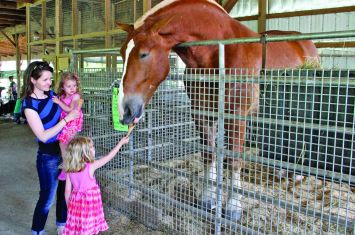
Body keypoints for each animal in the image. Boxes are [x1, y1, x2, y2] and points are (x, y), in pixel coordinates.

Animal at [117, 0, 320, 221]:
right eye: (121, 53)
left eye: (144, 53)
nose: (125, 110)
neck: (218, 52)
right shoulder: (201, 113)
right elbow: (209, 155)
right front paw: (207, 199)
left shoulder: (237, 116)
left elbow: (234, 160)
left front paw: (233, 207)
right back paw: (283, 172)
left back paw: (297, 174)